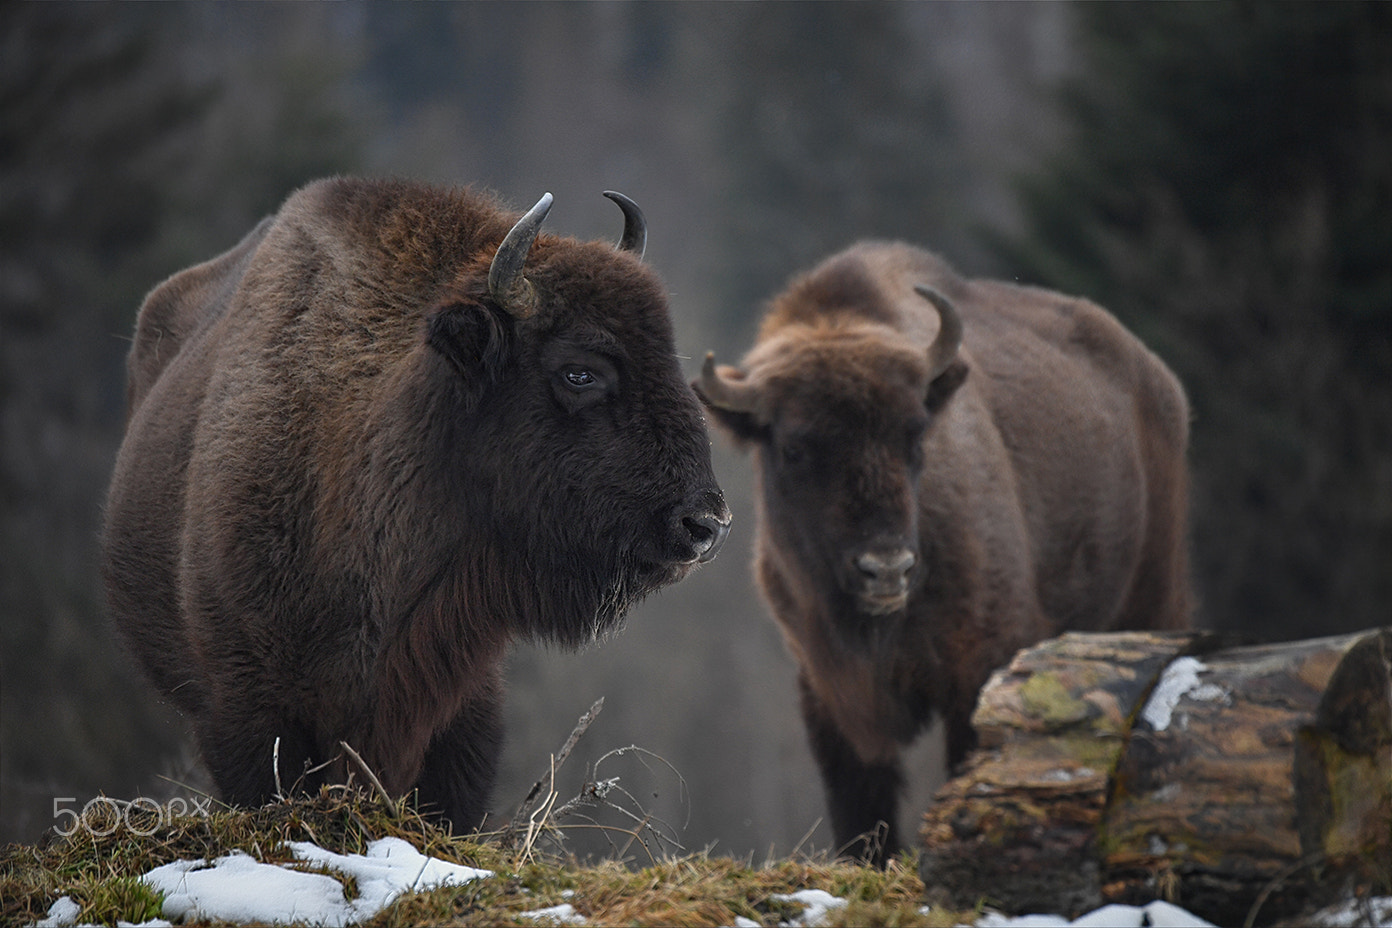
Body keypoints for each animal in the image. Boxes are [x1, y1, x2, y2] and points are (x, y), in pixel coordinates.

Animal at [697, 242, 1191, 863]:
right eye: (794, 448)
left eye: (914, 433)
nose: (886, 569)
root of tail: (1161, 383)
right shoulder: (829, 688)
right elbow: (860, 806)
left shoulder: (977, 668)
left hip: (1154, 596)